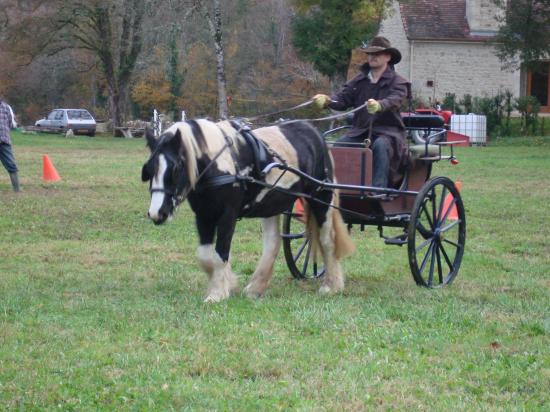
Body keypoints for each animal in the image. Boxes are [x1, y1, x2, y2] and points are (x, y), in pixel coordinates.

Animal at [142, 119, 356, 302]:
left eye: (176, 168)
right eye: (148, 170)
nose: (156, 213)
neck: (218, 164)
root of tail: (315, 132)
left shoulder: (227, 215)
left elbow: (220, 254)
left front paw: (218, 293)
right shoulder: (203, 216)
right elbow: (205, 256)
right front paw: (226, 284)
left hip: (322, 198)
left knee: (326, 240)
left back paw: (332, 285)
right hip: (271, 205)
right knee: (273, 243)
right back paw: (255, 287)